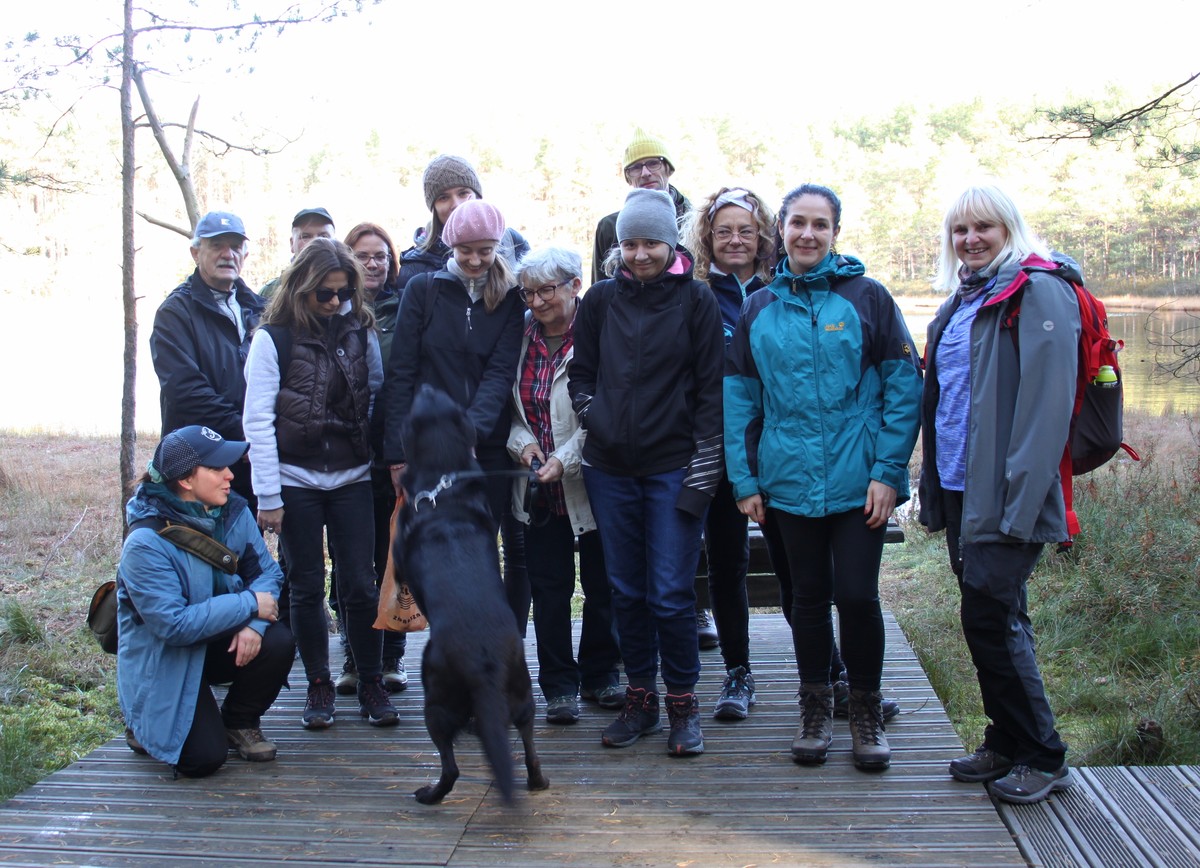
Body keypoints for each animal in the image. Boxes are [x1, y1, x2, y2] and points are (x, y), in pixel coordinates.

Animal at [393, 386, 549, 806]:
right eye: (439, 398)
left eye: (416, 405)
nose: (426, 386)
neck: (442, 486)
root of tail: (485, 663)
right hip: (524, 696)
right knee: (530, 749)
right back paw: (537, 781)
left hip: (435, 698)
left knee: (450, 768)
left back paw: (428, 794)